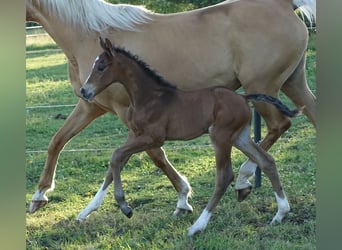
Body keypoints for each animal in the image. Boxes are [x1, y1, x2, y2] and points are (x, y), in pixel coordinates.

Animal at [27, 0, 318, 215]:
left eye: (102, 66)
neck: (87, 35)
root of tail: (284, 4)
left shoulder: (125, 111)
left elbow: (151, 154)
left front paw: (182, 198)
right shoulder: (91, 105)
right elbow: (57, 141)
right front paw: (39, 196)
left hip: (262, 86)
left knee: (279, 125)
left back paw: (244, 180)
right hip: (292, 83)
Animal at [78, 38, 300, 235]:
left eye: (101, 67)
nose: (84, 91)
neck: (149, 97)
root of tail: (244, 98)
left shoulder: (153, 138)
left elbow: (116, 155)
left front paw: (125, 207)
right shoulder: (135, 135)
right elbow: (116, 162)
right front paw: (89, 211)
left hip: (221, 136)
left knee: (225, 176)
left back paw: (197, 227)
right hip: (240, 136)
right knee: (266, 161)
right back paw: (280, 213)